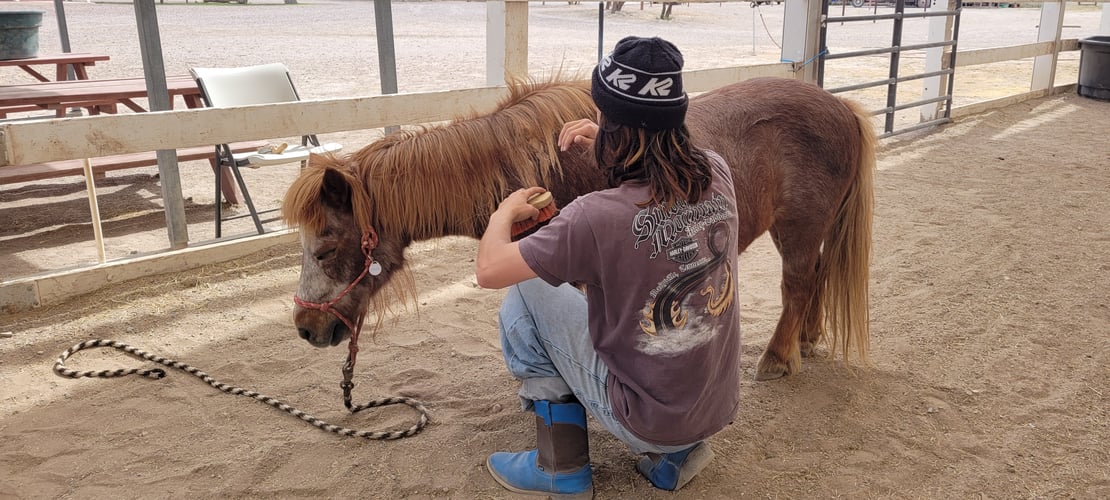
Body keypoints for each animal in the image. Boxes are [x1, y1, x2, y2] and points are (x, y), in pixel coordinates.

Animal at [282, 76, 876, 381]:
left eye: (325, 248)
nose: (307, 329)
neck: (538, 166)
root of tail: (840, 104)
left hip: (798, 230)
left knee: (797, 284)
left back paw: (779, 358)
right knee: (814, 280)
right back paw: (807, 340)